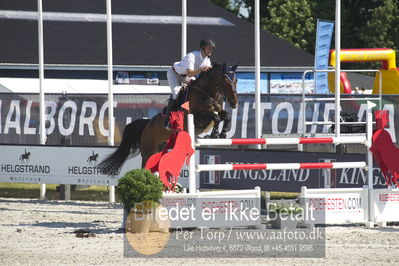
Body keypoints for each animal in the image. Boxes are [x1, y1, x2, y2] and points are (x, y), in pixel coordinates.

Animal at [99, 63, 239, 174]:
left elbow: (225, 116)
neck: (206, 93)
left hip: (161, 149)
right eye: (226, 81)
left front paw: (223, 133)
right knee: (145, 167)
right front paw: (214, 134)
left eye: (236, 80)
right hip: (149, 151)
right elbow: (215, 117)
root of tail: (147, 125)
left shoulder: (216, 112)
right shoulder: (196, 118)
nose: (234, 103)